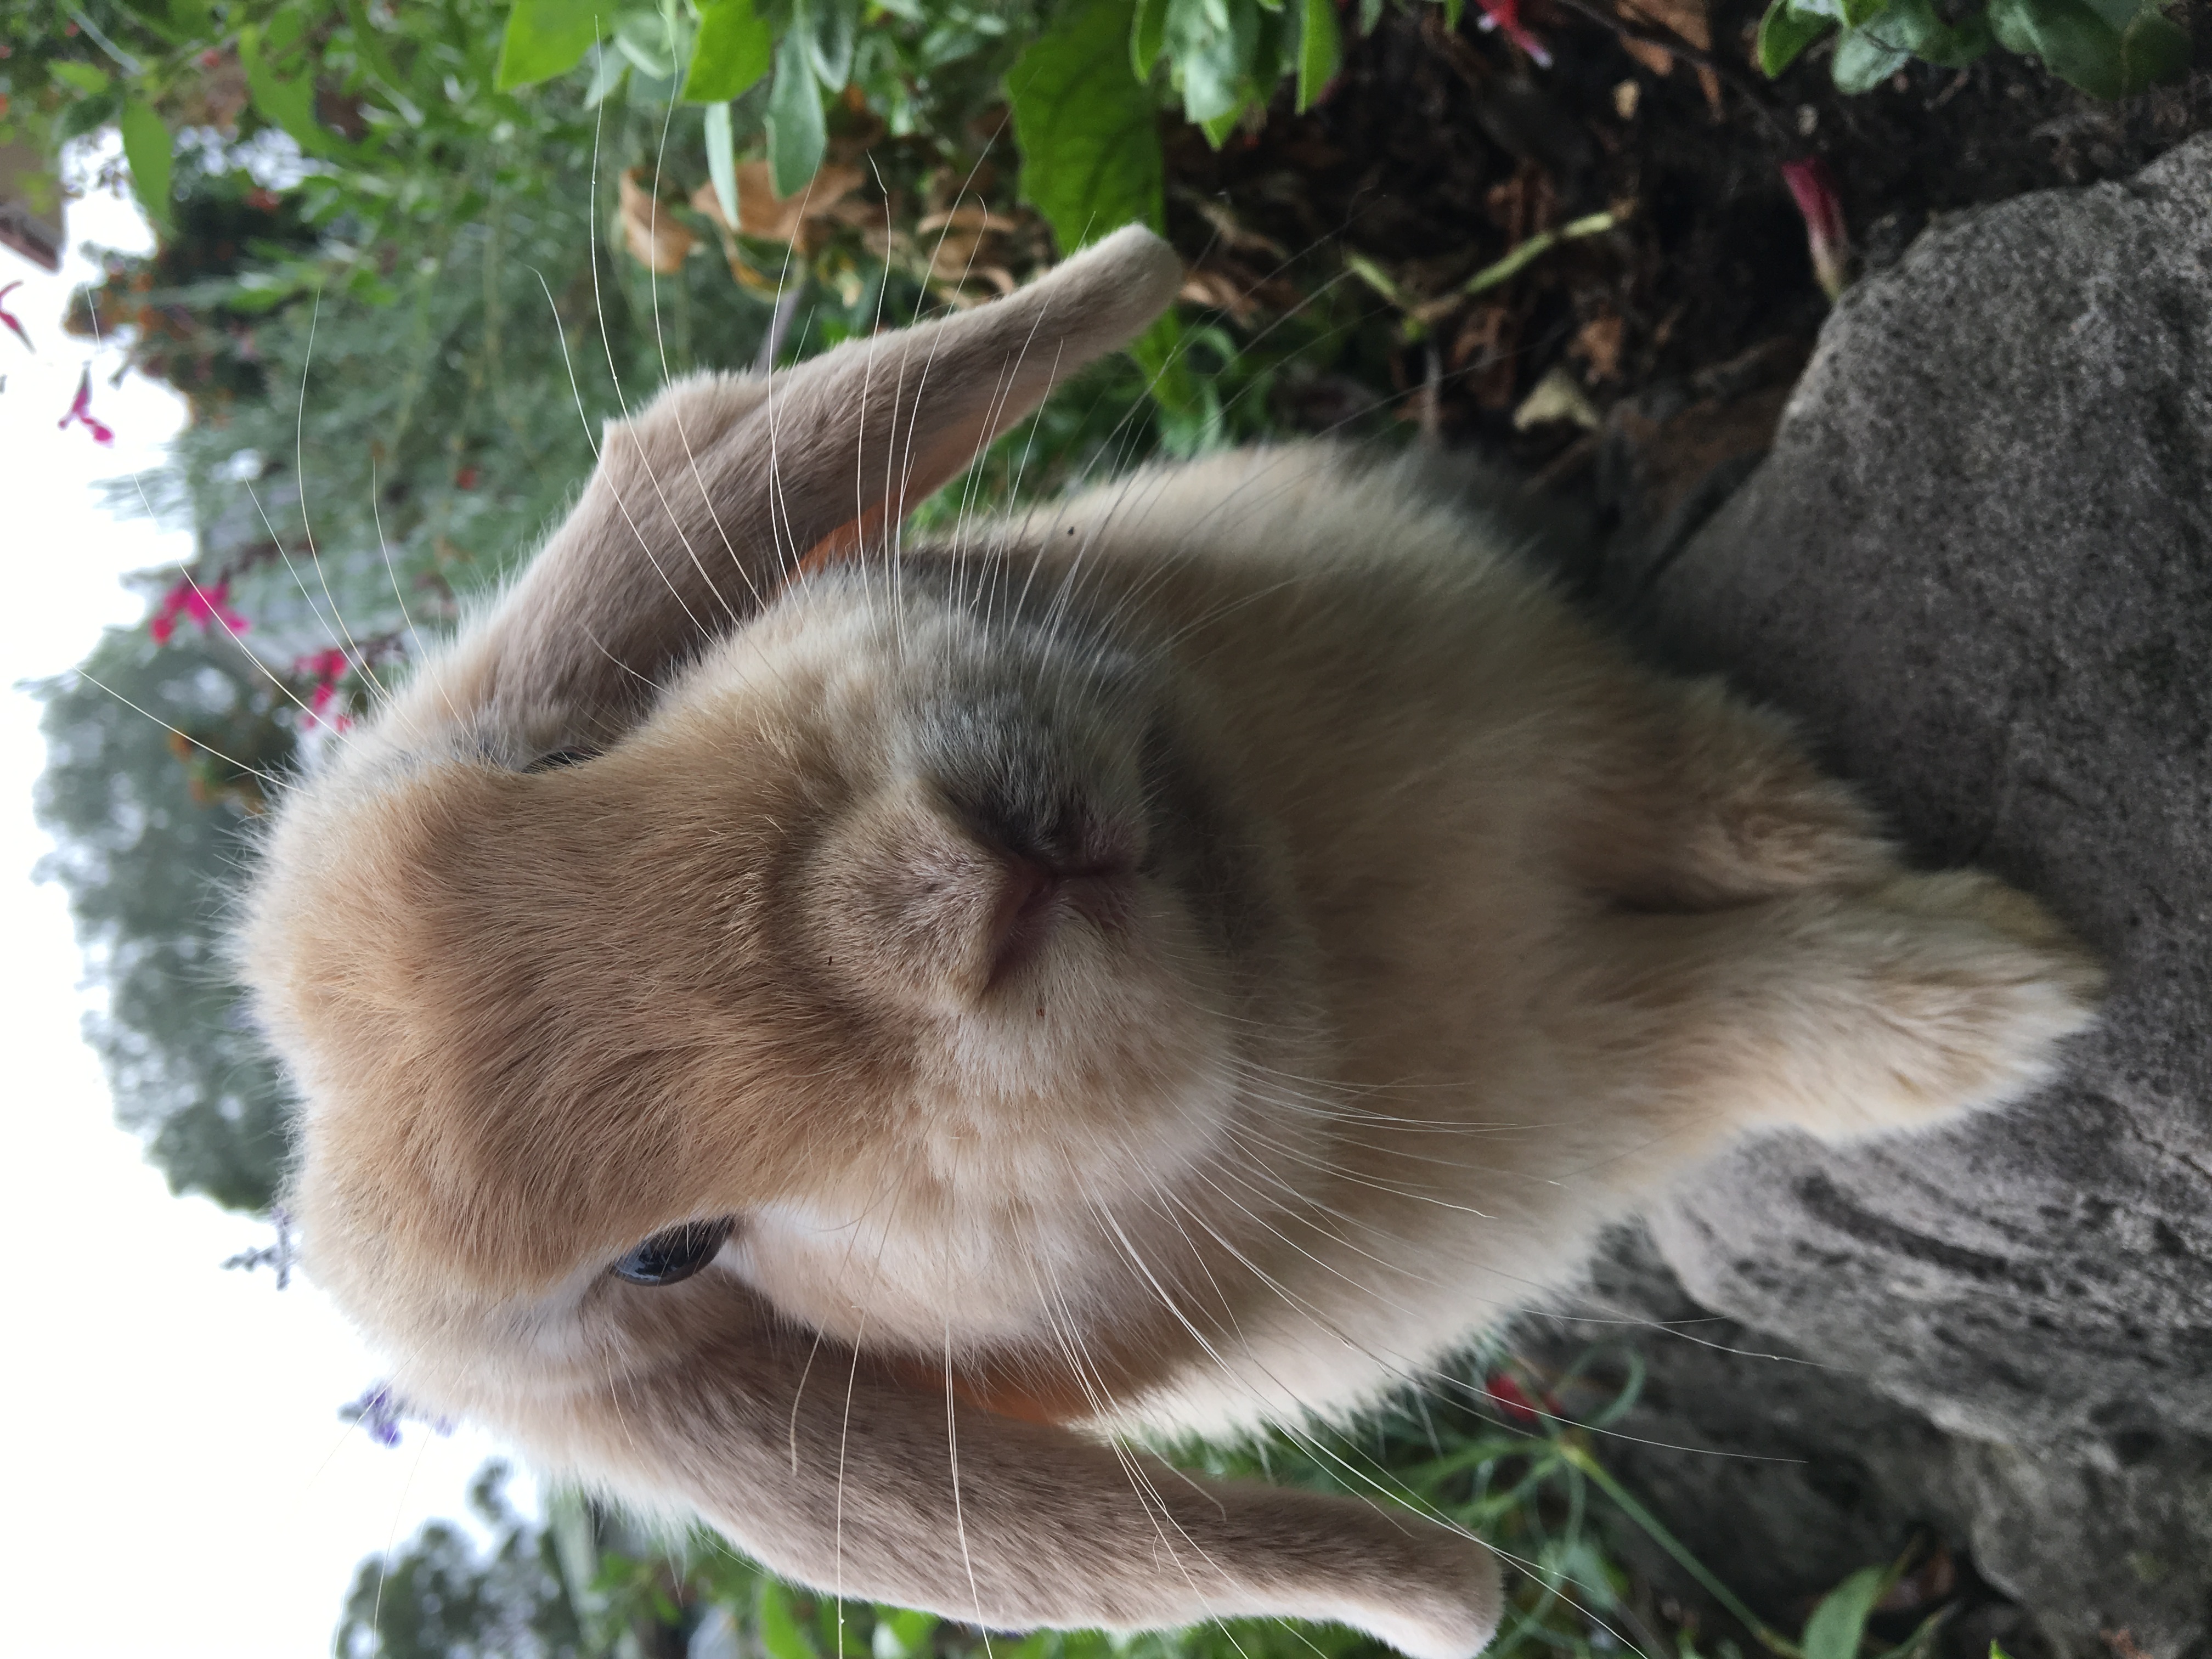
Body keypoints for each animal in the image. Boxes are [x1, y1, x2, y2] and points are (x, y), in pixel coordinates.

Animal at [237, 225, 2101, 1659]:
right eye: (672, 1260)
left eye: (551, 761)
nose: (946, 886)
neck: (1284, 901)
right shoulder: (1607, 1048)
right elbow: (1757, 1012)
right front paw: (2009, 998)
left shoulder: (1550, 709)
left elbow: (1694, 778)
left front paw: (1835, 836)